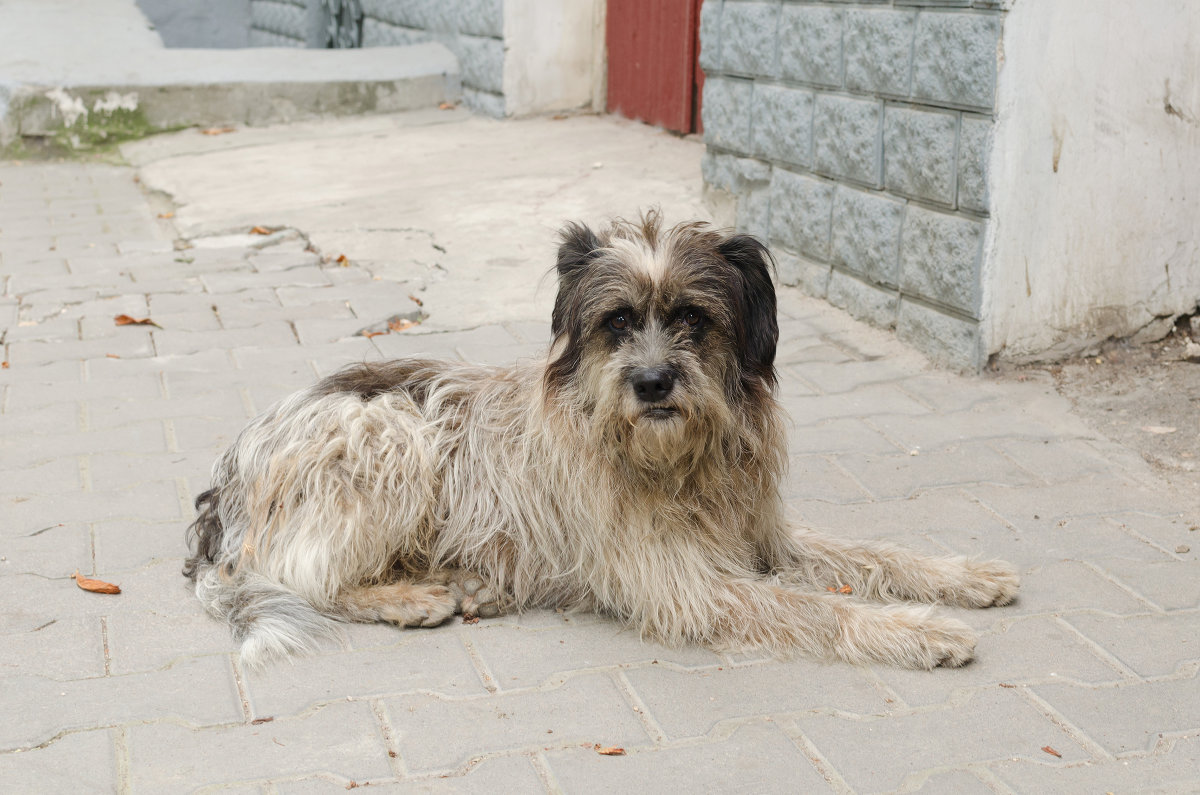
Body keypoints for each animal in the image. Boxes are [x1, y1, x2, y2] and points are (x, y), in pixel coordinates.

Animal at [182, 214, 1017, 667]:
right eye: (617, 321)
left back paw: (467, 582)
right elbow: (817, 609)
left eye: (692, 318)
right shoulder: (684, 582)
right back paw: (410, 597)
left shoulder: (760, 535)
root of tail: (225, 488)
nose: (652, 383)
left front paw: (963, 575)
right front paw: (920, 629)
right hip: (390, 436)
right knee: (303, 572)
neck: (680, 465)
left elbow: (869, 554)